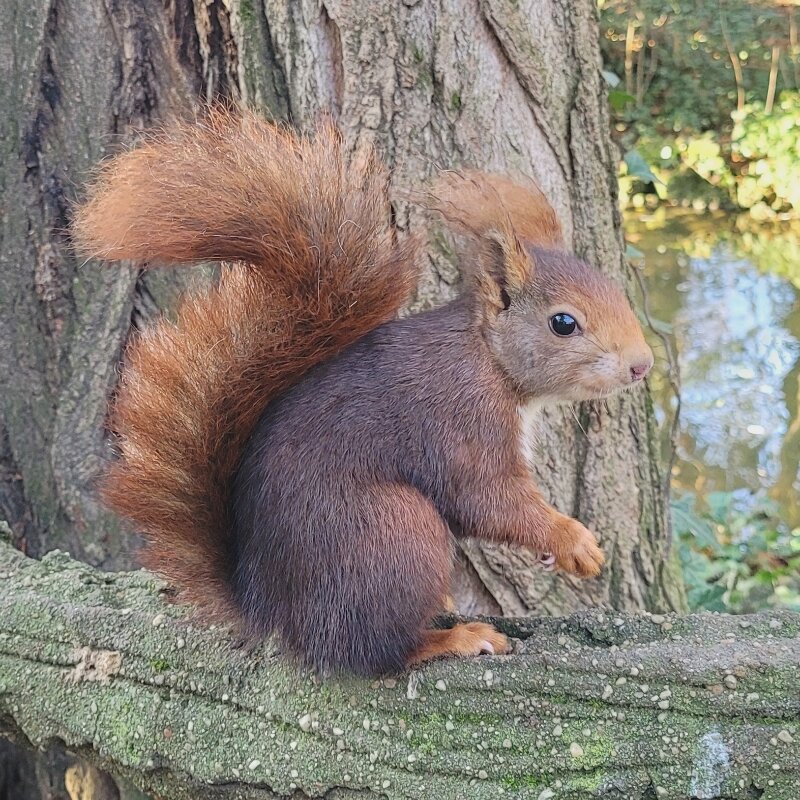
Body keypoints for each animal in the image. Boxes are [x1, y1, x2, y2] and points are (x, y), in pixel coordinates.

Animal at [74, 109, 654, 677]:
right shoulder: (461, 422)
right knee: (372, 651)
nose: (642, 365)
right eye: (563, 323)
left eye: (614, 288)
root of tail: (271, 612)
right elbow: (491, 501)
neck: (490, 359)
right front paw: (572, 541)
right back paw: (455, 639)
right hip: (396, 533)